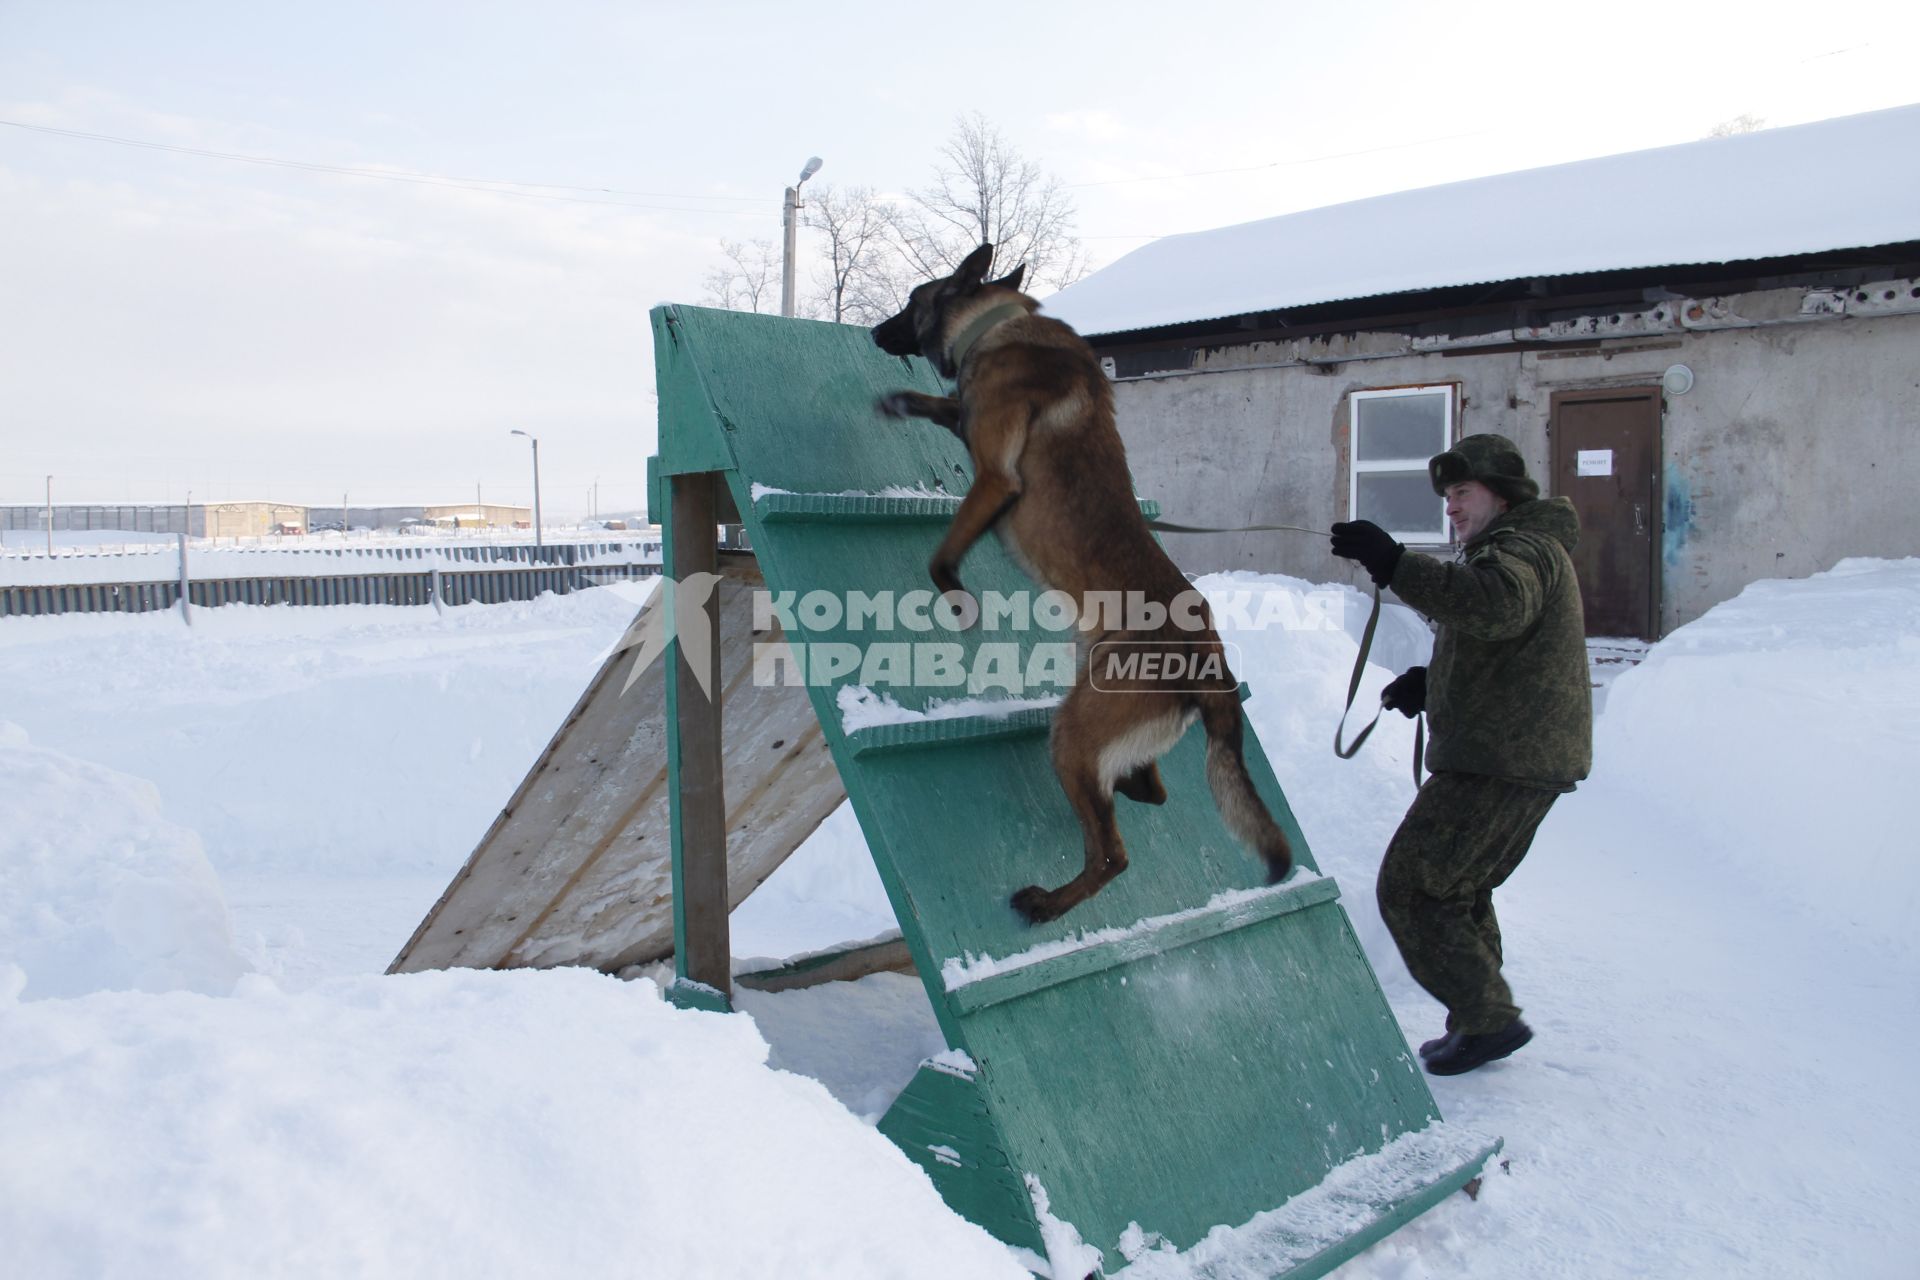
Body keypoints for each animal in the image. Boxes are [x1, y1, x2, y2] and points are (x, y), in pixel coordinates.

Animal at [871, 242, 1290, 921]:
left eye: (911, 301)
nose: (874, 332)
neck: (1001, 324)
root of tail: (1210, 656)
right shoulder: (973, 424)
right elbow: (950, 407)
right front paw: (906, 401)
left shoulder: (995, 478)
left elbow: (943, 555)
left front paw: (958, 600)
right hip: (1101, 720)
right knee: (1148, 788)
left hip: (1073, 733)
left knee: (1112, 853)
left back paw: (1048, 903)